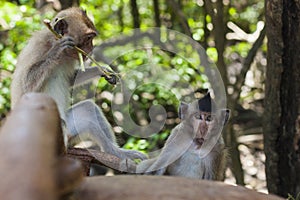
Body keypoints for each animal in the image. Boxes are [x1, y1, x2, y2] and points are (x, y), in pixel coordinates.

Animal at [11, 7, 146, 162]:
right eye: (88, 38)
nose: (92, 48)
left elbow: (71, 80)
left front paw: (103, 70)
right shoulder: (37, 47)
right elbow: (25, 87)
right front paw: (56, 50)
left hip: (72, 134)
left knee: (88, 109)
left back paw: (116, 152)